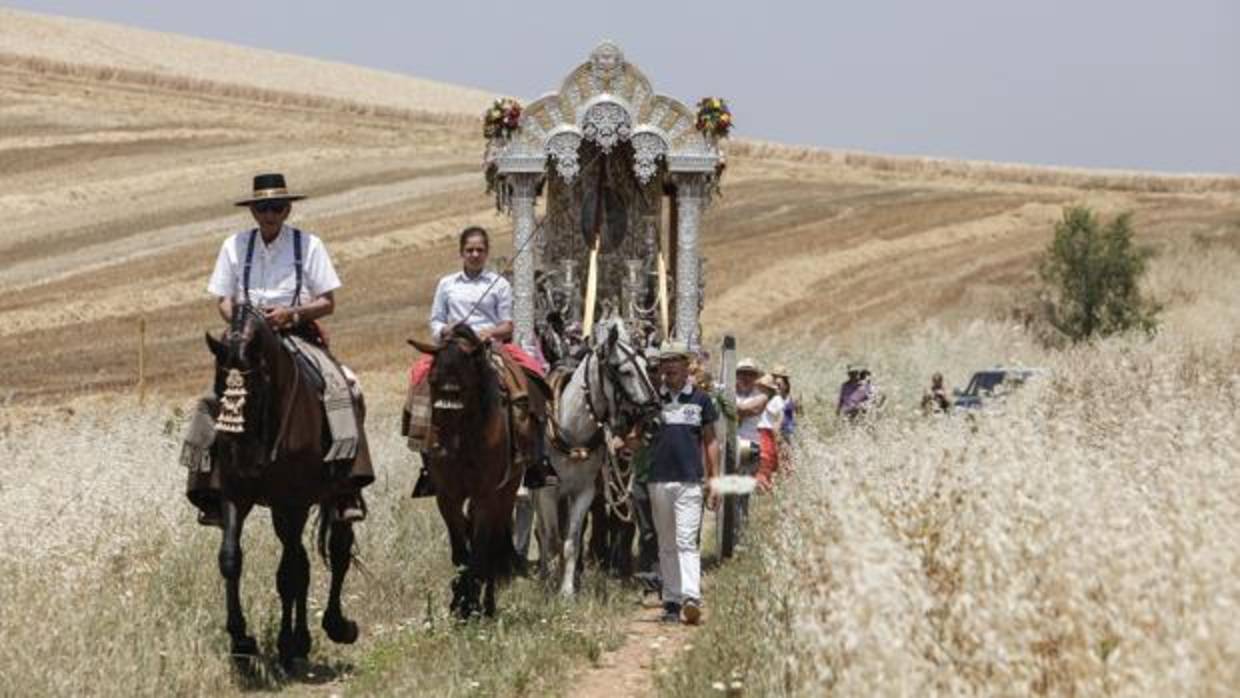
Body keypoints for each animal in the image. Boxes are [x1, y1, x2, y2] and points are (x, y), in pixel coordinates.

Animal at [203, 307, 364, 669]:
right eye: (220, 388)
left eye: (258, 388)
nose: (242, 460)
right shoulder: (237, 496)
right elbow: (230, 559)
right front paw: (241, 641)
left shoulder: (293, 502)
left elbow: (291, 573)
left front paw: (290, 642)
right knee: (303, 559)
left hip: (330, 497)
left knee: (337, 552)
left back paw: (334, 627)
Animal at [414, 324, 530, 619]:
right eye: (432, 382)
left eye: (464, 387)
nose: (440, 449)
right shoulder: (447, 497)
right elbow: (460, 552)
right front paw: (459, 602)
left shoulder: (486, 496)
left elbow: (479, 550)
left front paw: (473, 606)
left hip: (507, 492)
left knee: (493, 541)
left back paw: (487, 602)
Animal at [538, 319, 664, 597]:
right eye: (625, 371)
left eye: (647, 367)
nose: (654, 419)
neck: (571, 429)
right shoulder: (547, 492)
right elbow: (551, 538)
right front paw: (550, 586)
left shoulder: (583, 491)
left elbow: (571, 541)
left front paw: (567, 591)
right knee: (542, 531)